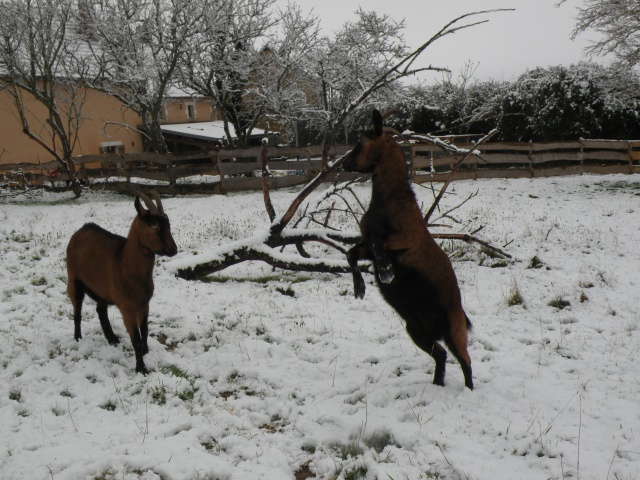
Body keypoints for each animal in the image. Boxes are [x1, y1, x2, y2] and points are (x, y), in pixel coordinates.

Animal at [66, 191, 178, 376]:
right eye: (153, 225)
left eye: (168, 223)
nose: (173, 249)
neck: (125, 264)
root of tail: (80, 230)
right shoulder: (127, 309)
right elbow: (136, 338)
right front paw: (141, 369)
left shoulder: (144, 304)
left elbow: (145, 330)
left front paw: (146, 352)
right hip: (74, 278)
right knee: (77, 311)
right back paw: (77, 338)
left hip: (102, 288)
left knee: (101, 310)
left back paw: (112, 338)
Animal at [342, 111, 472, 390]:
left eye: (361, 140)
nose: (344, 162)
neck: (390, 201)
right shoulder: (366, 245)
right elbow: (350, 254)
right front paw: (360, 288)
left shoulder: (406, 241)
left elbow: (381, 245)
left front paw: (386, 272)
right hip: (416, 330)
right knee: (441, 354)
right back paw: (437, 383)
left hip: (454, 330)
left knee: (465, 361)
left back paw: (467, 391)